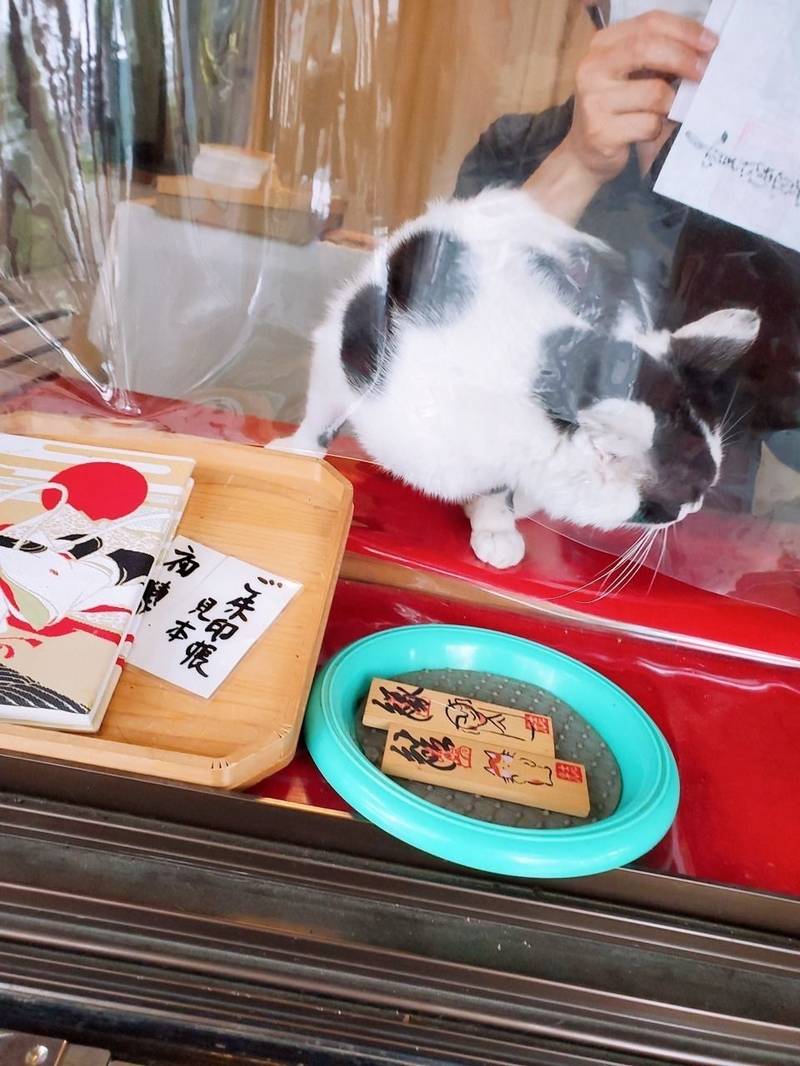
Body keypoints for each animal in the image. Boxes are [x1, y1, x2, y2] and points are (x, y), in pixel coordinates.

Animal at [273, 191, 759, 575]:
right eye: (685, 494)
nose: (696, 508)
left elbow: (498, 488)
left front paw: (495, 524)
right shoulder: (344, 350)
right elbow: (323, 412)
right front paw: (300, 453)